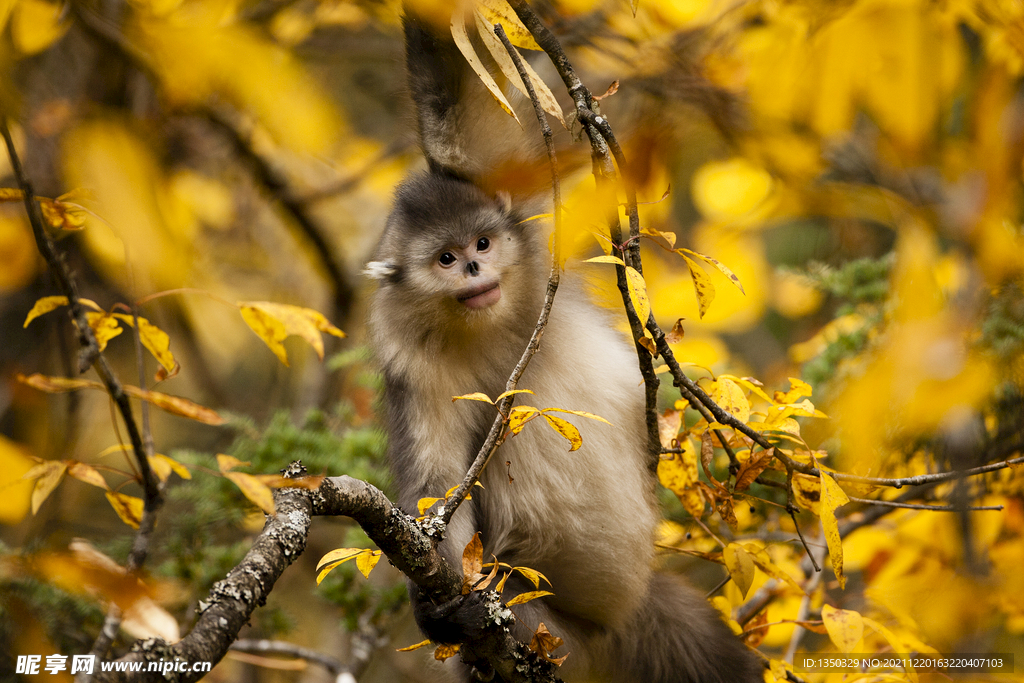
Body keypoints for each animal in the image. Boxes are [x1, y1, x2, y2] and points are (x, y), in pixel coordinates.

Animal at [364, 6, 765, 683]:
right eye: (445, 258)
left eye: (482, 243)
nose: (474, 270)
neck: (489, 326)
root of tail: (610, 631)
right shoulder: (414, 368)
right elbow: (440, 482)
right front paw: (437, 608)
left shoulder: (524, 214)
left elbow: (465, 120)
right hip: (546, 628)